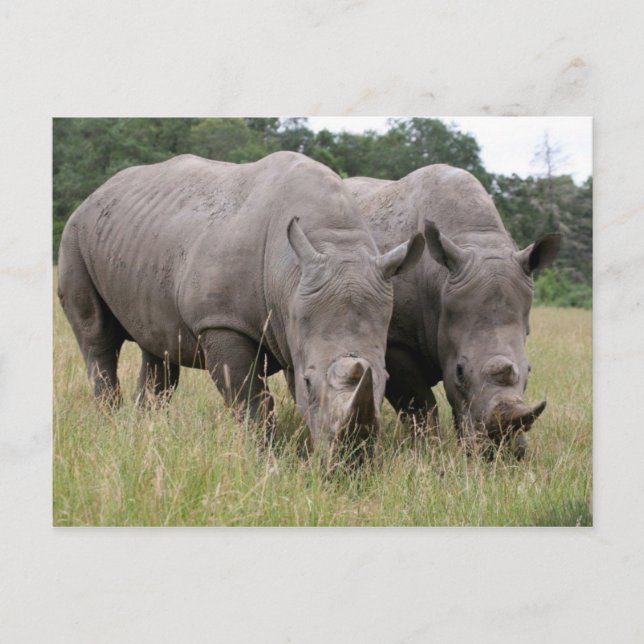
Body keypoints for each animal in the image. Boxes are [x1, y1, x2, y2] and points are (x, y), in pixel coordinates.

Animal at [57, 151, 424, 457]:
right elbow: (251, 399)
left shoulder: (295, 324)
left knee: (157, 346)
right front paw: (267, 459)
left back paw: (144, 432)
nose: (352, 463)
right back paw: (110, 425)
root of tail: (96, 193)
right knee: (97, 338)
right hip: (74, 236)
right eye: (309, 381)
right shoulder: (221, 322)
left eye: (386, 379)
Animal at [345, 165, 561, 458]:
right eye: (460, 371)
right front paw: (429, 451)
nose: (503, 452)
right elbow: (420, 403)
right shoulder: (394, 340)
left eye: (529, 370)